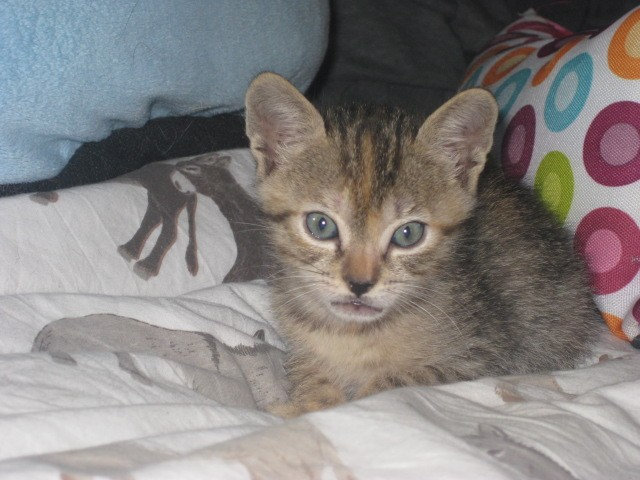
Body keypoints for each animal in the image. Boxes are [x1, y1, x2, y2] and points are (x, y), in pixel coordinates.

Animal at [244, 72, 602, 417]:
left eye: (408, 234)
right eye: (321, 225)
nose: (359, 284)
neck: (354, 334)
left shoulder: (480, 357)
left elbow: (394, 381)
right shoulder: (302, 349)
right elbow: (312, 377)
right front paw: (302, 405)